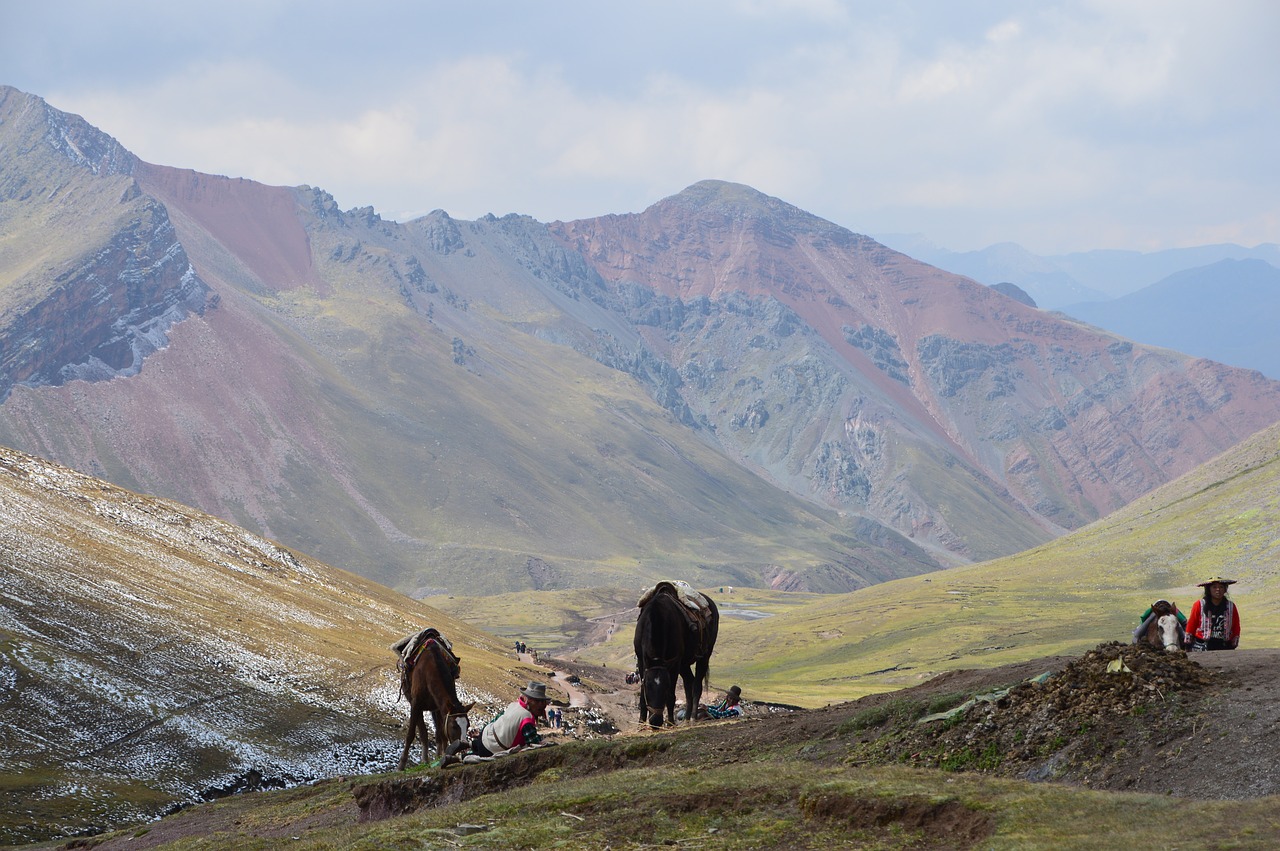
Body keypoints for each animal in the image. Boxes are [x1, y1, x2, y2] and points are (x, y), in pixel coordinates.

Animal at [391, 624, 473, 767]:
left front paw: (443, 757)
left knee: (437, 734)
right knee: (423, 732)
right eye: (454, 726)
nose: (463, 748)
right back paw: (425, 759)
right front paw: (401, 765)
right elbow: (412, 734)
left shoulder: (440, 707)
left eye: (467, 725)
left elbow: (441, 734)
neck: (429, 670)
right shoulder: (416, 704)